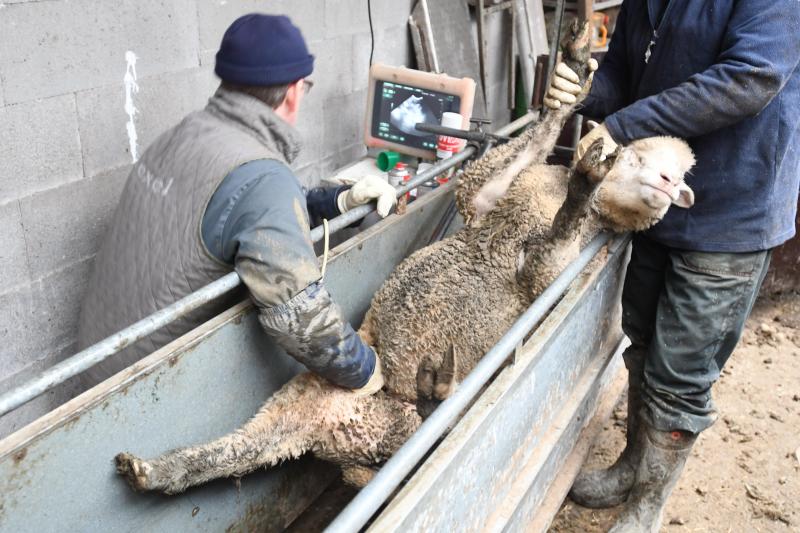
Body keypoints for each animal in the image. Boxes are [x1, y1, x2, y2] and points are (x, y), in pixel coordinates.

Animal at [112, 20, 692, 494]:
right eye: (636, 157)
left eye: (682, 176)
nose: (670, 186)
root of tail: (335, 428)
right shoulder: (485, 196)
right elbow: (527, 145)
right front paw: (572, 78)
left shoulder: (552, 272)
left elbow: (555, 246)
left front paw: (584, 183)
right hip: (306, 408)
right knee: (234, 455)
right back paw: (153, 471)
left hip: (390, 426)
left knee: (404, 437)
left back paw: (438, 391)